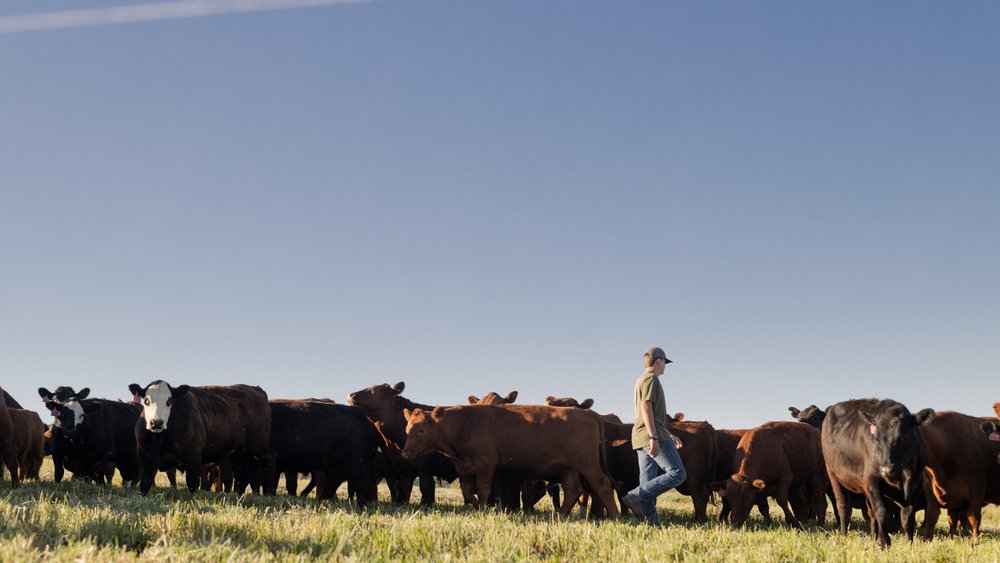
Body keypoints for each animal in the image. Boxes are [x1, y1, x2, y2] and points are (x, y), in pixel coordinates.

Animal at [131, 382, 278, 496]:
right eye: (146, 401)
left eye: (169, 401)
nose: (156, 422)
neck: (160, 439)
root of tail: (256, 389)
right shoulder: (143, 455)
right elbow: (144, 483)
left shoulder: (193, 455)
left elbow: (193, 483)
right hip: (239, 451)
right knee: (241, 472)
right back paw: (239, 493)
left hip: (258, 445)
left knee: (270, 459)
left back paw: (268, 492)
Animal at [398, 406, 616, 520]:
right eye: (407, 428)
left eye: (421, 431)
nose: (405, 453)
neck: (464, 424)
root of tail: (588, 413)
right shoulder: (464, 469)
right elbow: (467, 492)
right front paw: (478, 507)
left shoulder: (486, 464)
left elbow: (483, 489)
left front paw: (484, 509)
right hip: (568, 468)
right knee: (573, 489)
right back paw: (561, 515)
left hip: (587, 463)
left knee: (602, 485)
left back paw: (614, 516)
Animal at [816, 398, 932, 548]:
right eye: (876, 439)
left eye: (904, 436)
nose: (885, 469)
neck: (903, 475)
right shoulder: (872, 481)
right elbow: (881, 511)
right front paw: (884, 542)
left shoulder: (916, 484)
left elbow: (907, 517)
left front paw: (909, 543)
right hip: (834, 476)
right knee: (843, 507)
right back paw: (843, 535)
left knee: (870, 512)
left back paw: (872, 536)